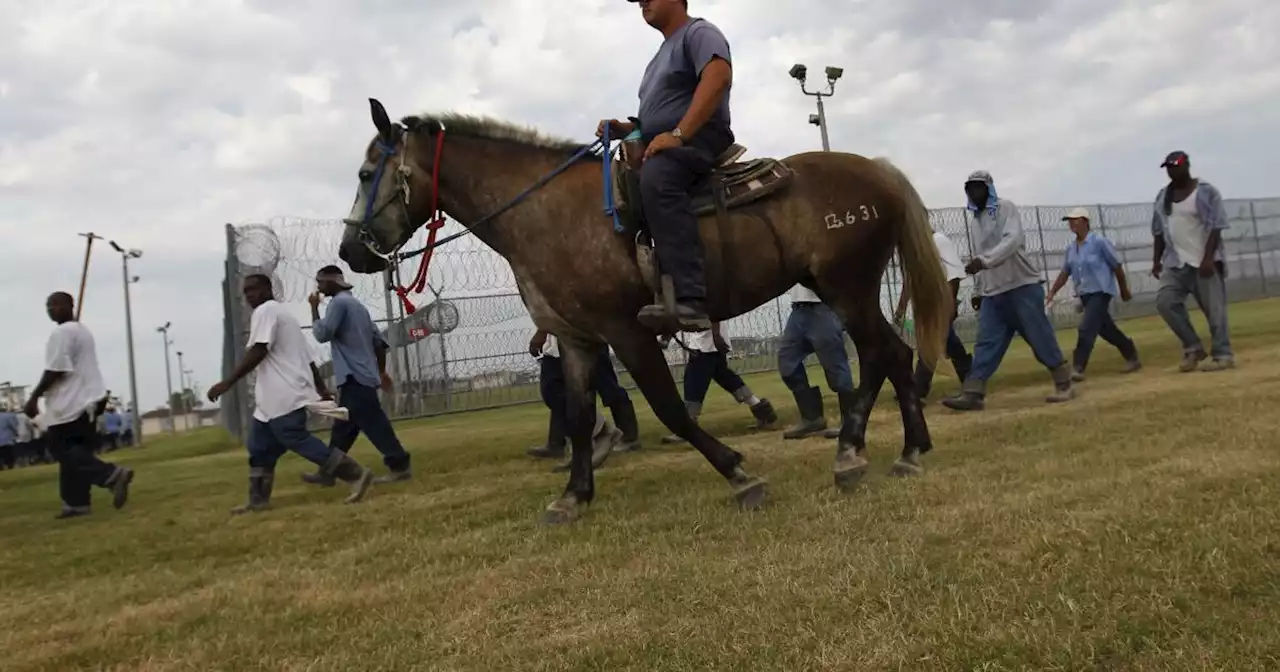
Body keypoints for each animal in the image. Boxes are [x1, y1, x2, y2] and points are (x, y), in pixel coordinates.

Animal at [335, 98, 957, 524]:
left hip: (846, 287)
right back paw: (908, 449)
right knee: (892, 354)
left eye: (366, 175)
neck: (544, 212)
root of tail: (877, 172)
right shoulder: (578, 340)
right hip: (848, 290)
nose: (348, 251)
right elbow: (579, 417)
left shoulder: (626, 332)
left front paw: (737, 473)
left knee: (879, 353)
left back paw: (853, 452)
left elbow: (671, 408)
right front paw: (573, 495)